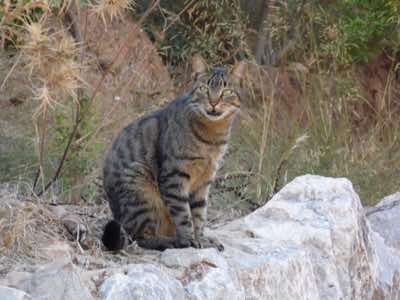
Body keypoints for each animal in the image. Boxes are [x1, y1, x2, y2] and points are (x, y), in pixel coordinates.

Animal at [101, 55, 245, 251]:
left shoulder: (205, 180)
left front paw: (201, 238)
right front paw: (190, 239)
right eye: (204, 88)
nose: (214, 102)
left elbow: (199, 214)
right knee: (141, 237)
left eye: (227, 91)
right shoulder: (174, 175)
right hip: (140, 187)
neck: (212, 138)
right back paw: (171, 241)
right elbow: (183, 215)